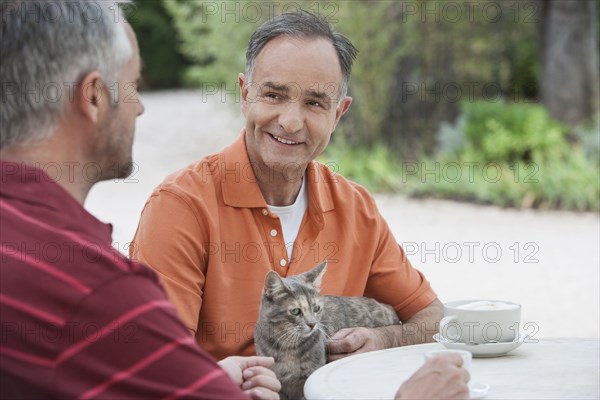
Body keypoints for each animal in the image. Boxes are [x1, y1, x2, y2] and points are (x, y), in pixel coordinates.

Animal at [253, 260, 398, 398]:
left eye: (316, 308)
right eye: (295, 311)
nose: (312, 324)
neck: (289, 346)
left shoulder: (308, 377)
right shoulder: (277, 382)